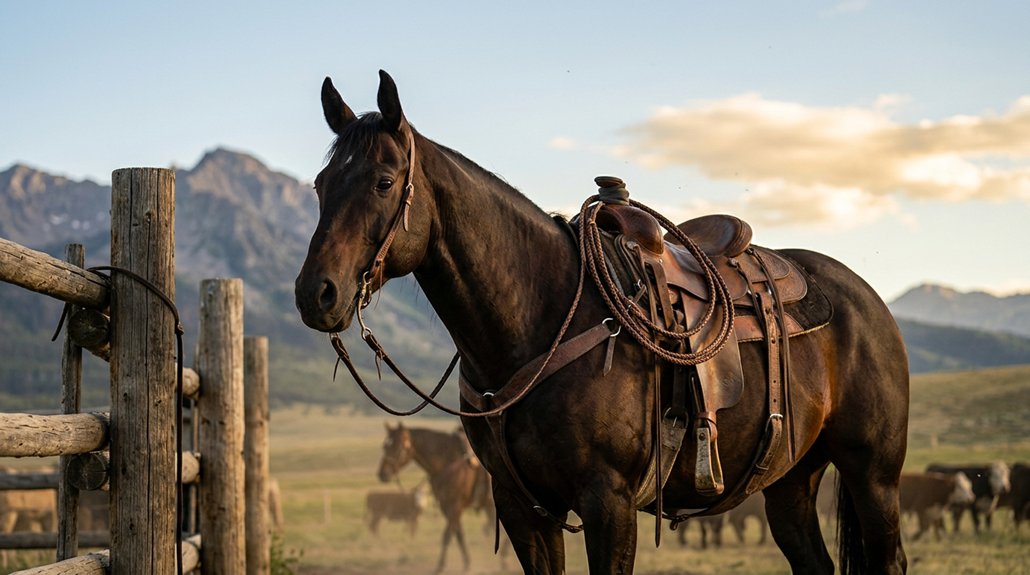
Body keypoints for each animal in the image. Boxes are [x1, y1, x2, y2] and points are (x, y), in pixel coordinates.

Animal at [376, 423, 493, 572]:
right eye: (385, 446)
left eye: (398, 446)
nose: (382, 474)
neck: (449, 461)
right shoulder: (446, 506)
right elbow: (459, 534)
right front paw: (467, 564)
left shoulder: (455, 506)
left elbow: (447, 535)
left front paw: (440, 566)